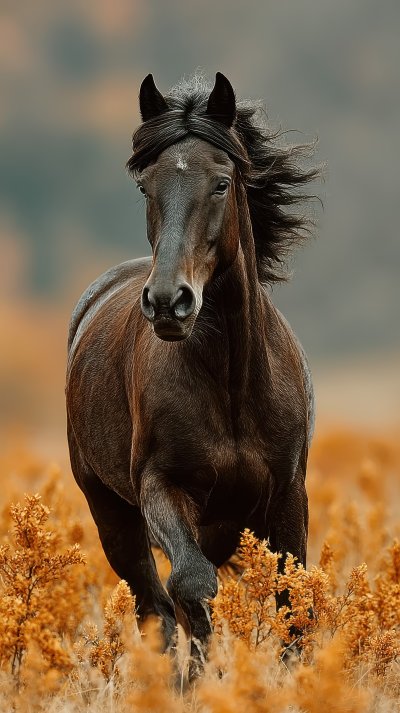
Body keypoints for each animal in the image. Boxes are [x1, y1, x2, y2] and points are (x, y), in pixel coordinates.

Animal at [66, 72, 318, 680]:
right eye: (145, 187)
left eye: (222, 183)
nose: (166, 302)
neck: (230, 384)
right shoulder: (161, 487)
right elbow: (191, 586)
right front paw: (202, 681)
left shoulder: (287, 494)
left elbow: (292, 596)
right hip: (110, 512)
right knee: (154, 605)